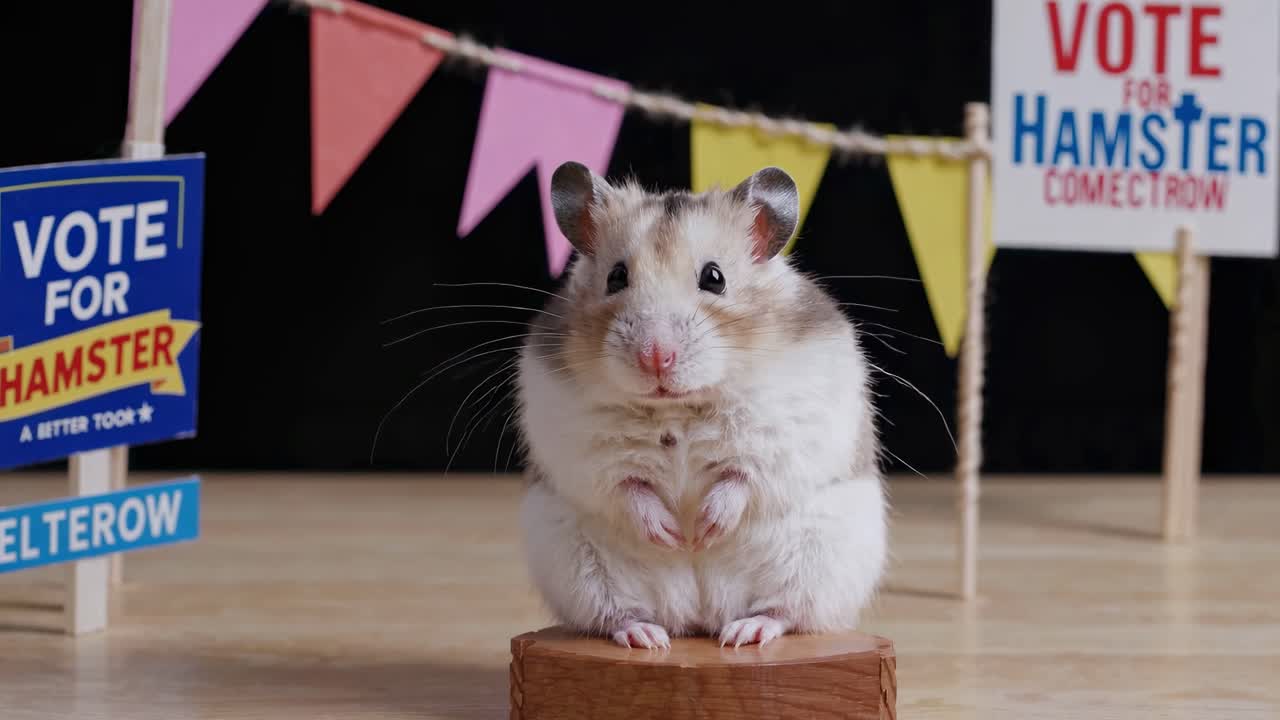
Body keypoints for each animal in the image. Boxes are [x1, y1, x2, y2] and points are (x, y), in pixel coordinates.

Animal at [515, 161, 886, 649]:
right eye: (616, 277)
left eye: (714, 277)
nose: (655, 356)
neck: (679, 405)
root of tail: (699, 616)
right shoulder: (577, 438)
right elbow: (626, 481)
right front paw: (672, 535)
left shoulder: (787, 426)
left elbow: (743, 473)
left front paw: (706, 529)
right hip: (579, 568)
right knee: (615, 614)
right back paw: (647, 637)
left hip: (821, 561)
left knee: (786, 611)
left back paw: (744, 633)